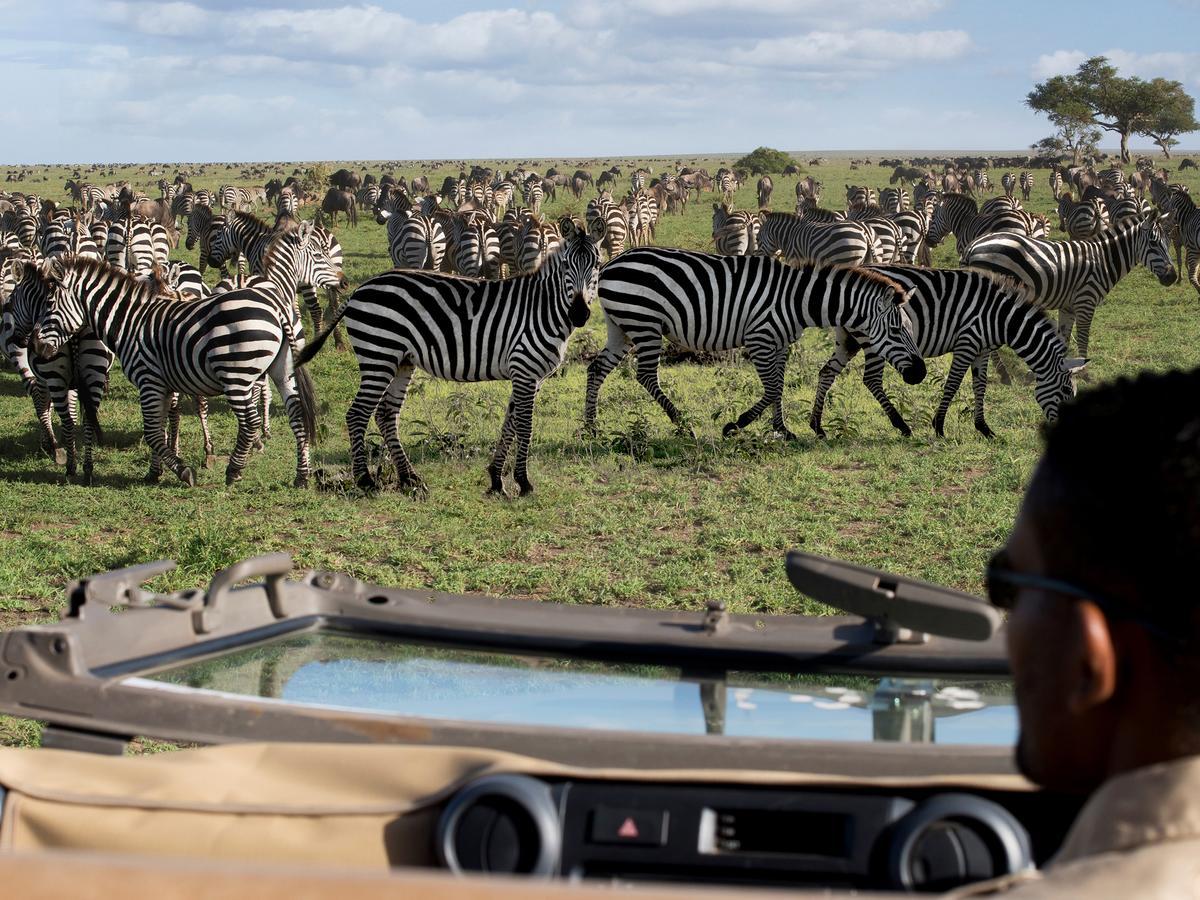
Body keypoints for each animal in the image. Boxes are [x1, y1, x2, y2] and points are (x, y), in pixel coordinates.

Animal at [22, 254, 319, 489]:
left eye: (48, 305)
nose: (34, 345)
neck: (130, 321)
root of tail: (275, 306)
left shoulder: (148, 380)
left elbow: (152, 432)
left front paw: (183, 471)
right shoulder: (162, 385)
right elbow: (160, 428)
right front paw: (155, 472)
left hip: (238, 376)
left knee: (250, 422)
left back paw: (234, 471)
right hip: (282, 370)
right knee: (297, 414)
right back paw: (301, 476)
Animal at [296, 219, 604, 501]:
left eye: (598, 266)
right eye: (566, 267)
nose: (579, 314)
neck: (542, 308)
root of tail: (358, 292)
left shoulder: (529, 375)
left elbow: (510, 423)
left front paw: (496, 479)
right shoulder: (525, 370)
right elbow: (524, 426)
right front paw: (523, 482)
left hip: (401, 360)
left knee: (385, 413)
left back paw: (409, 478)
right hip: (379, 355)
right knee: (358, 413)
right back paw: (366, 481)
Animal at [585, 250, 921, 441]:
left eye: (909, 328)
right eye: (895, 330)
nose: (919, 373)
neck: (797, 300)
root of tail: (611, 263)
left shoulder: (781, 344)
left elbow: (779, 386)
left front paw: (782, 430)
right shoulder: (760, 340)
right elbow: (771, 389)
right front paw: (736, 425)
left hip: (621, 327)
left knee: (596, 368)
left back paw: (591, 428)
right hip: (645, 323)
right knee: (645, 376)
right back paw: (682, 426)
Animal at [806, 264, 1089, 441]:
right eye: (1066, 391)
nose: (1068, 433)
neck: (1002, 318)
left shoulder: (983, 349)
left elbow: (980, 386)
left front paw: (984, 428)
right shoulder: (967, 342)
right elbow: (953, 384)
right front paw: (939, 427)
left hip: (848, 340)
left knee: (826, 372)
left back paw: (817, 426)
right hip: (876, 341)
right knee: (871, 379)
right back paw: (902, 425)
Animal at [960, 216, 1176, 360]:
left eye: (1168, 242)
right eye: (1154, 244)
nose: (1172, 277)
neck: (1104, 260)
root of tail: (973, 245)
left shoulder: (1068, 306)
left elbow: (1064, 338)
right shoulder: (1086, 301)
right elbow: (1082, 337)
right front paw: (1083, 369)